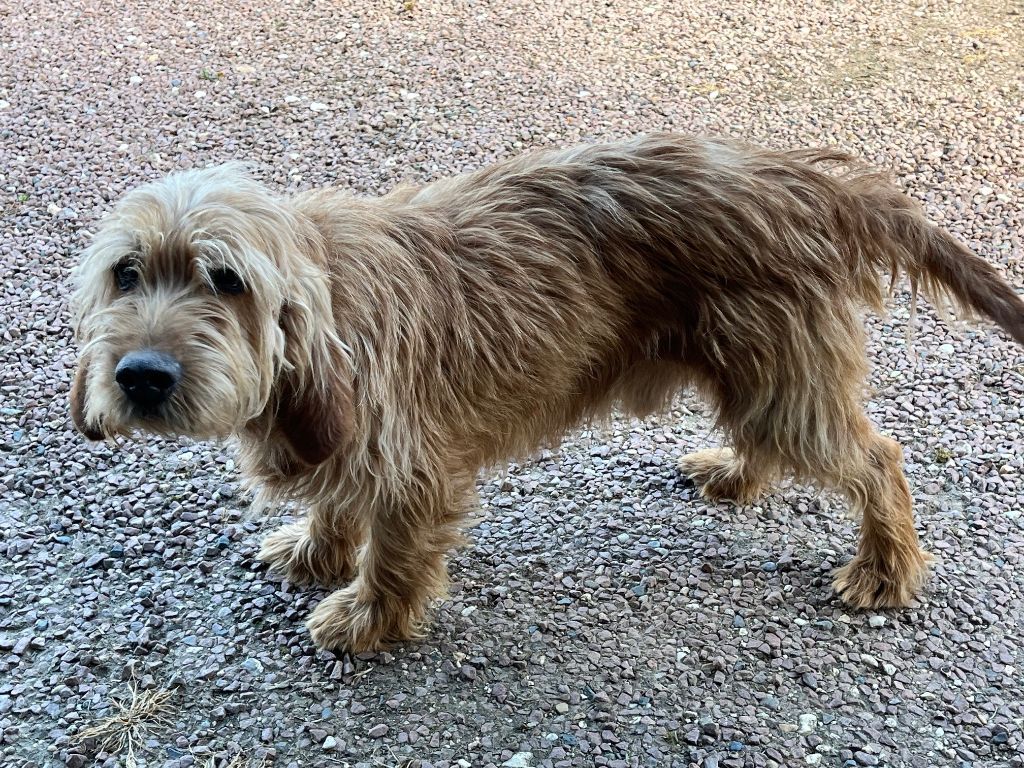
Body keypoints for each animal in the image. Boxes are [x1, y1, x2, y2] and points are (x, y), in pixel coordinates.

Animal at [72, 135, 1024, 651]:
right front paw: (316, 548)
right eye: (127, 272)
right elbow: (340, 503)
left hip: (787, 387)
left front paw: (371, 617)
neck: (329, 317)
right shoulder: (348, 444)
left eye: (226, 281)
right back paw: (738, 474)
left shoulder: (418, 469)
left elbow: (396, 551)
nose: (142, 376)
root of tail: (810, 183)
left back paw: (886, 567)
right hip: (763, 375)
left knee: (879, 459)